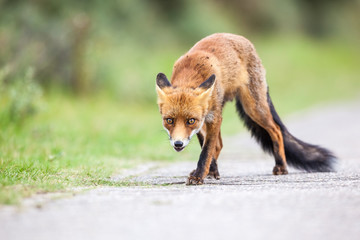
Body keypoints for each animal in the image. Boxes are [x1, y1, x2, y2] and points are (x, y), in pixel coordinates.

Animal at [156, 32, 336, 185]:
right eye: (169, 120)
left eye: (190, 121)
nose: (178, 144)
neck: (192, 72)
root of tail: (242, 39)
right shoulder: (204, 122)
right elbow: (208, 148)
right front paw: (207, 172)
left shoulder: (212, 118)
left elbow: (206, 151)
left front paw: (199, 176)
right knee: (219, 144)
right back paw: (213, 172)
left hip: (254, 108)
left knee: (276, 130)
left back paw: (281, 167)